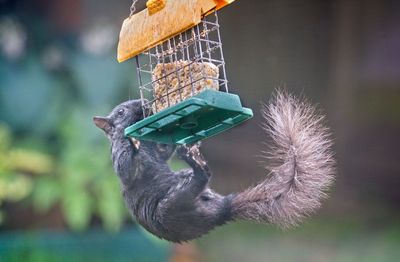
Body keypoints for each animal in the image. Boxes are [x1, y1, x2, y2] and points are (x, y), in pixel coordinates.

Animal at [93, 91, 334, 243]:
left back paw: (192, 160)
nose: (143, 103)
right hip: (171, 207)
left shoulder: (157, 152)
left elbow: (164, 151)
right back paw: (194, 164)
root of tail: (222, 212)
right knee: (200, 179)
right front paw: (132, 141)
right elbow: (127, 167)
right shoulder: (122, 162)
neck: (146, 146)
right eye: (121, 112)